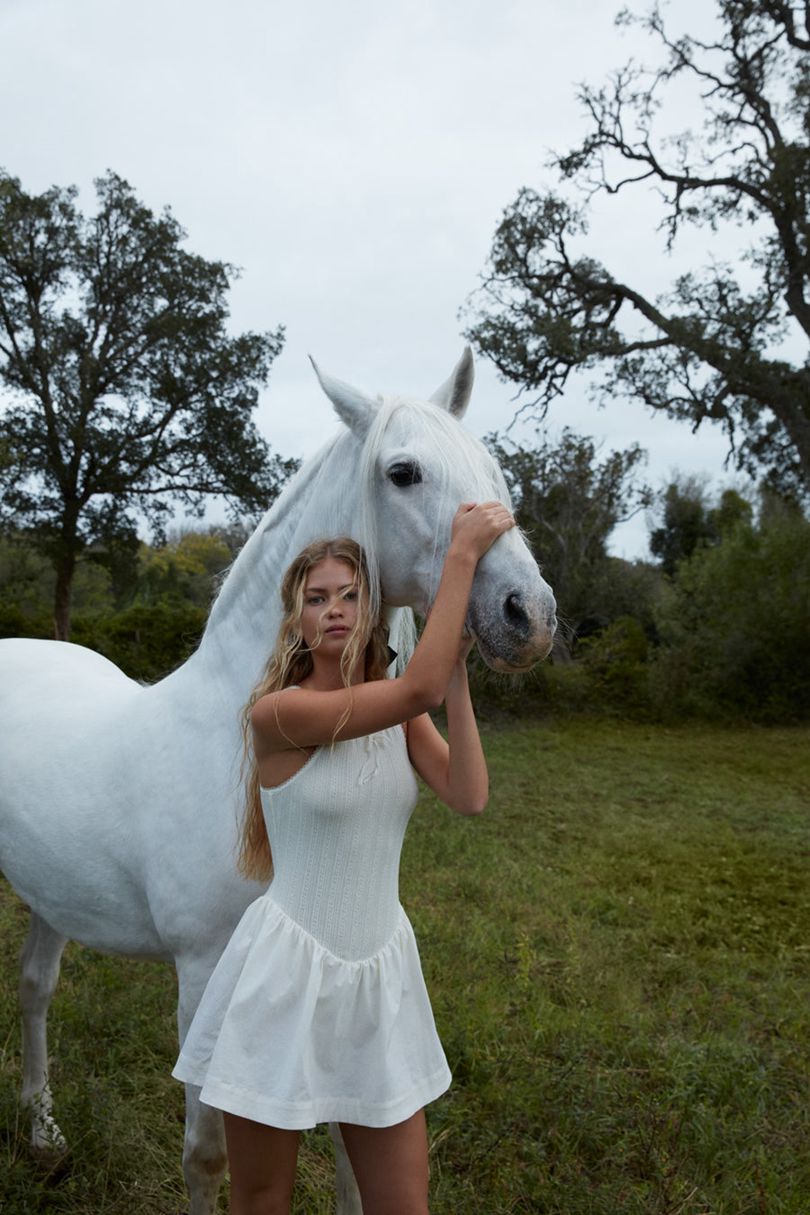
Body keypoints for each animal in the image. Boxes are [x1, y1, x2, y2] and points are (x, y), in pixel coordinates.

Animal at [0, 347, 558, 1210]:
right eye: (402, 472)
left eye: (490, 469)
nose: (527, 613)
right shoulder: (204, 976)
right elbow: (206, 1155)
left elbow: (352, 1148)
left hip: (52, 894)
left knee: (34, 987)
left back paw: (44, 1133)